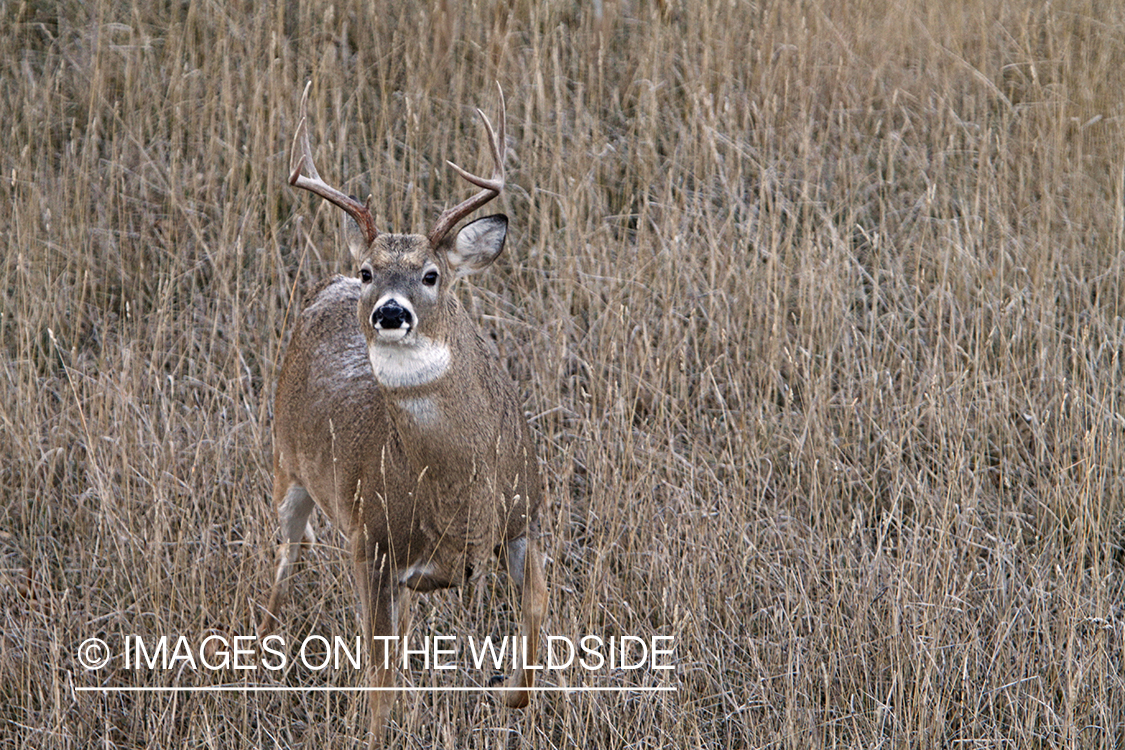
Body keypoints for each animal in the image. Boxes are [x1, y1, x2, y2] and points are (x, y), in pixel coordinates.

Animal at [259, 83, 549, 746]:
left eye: (431, 274)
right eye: (371, 272)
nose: (389, 311)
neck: (459, 495)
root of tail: (326, 287)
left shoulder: (523, 514)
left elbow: (538, 611)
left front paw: (508, 691)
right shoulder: (369, 543)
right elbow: (379, 675)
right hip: (287, 462)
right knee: (285, 556)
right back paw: (258, 651)